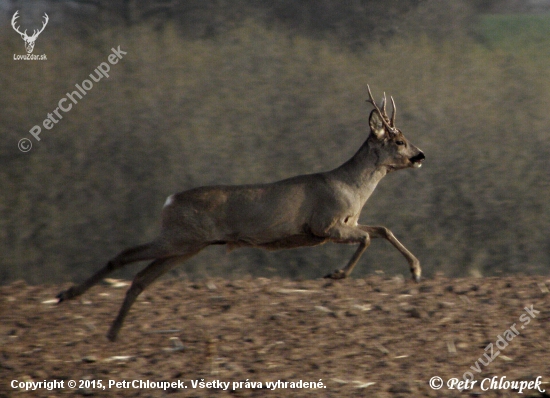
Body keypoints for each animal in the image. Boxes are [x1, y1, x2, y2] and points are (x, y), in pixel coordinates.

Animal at [57, 85, 426, 340]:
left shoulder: (348, 222)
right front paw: (336, 274)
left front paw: (416, 271)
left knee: (141, 278)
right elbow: (367, 238)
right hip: (178, 237)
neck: (352, 188)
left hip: (187, 245)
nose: (420, 155)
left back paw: (112, 332)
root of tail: (170, 200)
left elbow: (383, 230)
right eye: (398, 140)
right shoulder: (325, 225)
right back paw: (68, 296)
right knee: (123, 255)